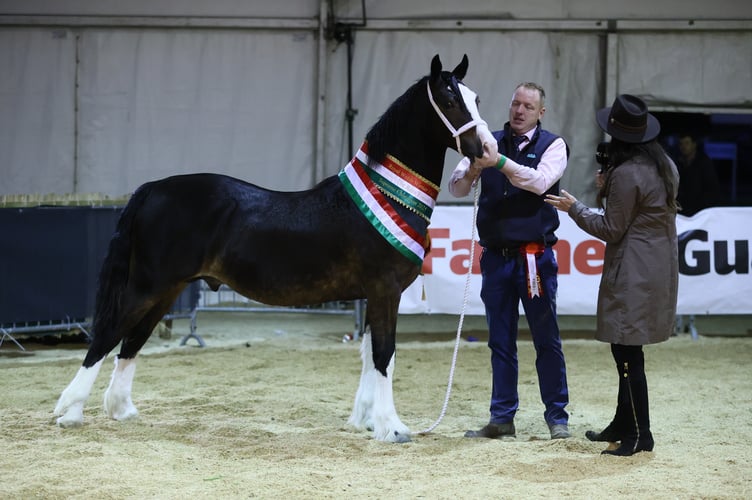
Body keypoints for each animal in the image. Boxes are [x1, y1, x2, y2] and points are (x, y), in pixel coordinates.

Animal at [53, 54, 496, 443]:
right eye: (450, 100)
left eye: (476, 98)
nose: (489, 150)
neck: (386, 193)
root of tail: (150, 189)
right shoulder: (385, 291)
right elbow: (385, 354)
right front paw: (393, 429)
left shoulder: (374, 295)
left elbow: (371, 354)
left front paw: (369, 421)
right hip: (148, 286)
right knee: (108, 334)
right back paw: (69, 412)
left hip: (166, 290)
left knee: (132, 339)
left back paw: (121, 409)